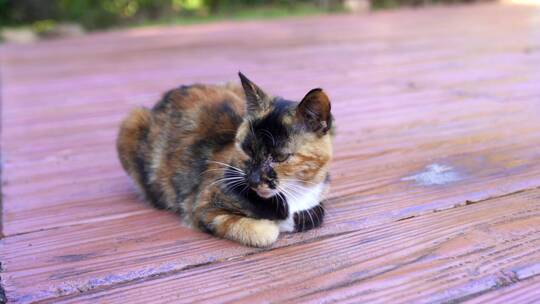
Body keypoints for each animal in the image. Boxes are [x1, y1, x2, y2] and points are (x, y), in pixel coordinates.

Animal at [117, 73, 334, 247]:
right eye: (247, 149)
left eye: (280, 157)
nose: (254, 180)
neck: (292, 196)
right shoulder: (203, 207)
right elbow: (265, 233)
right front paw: (276, 225)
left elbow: (316, 214)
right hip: (131, 124)